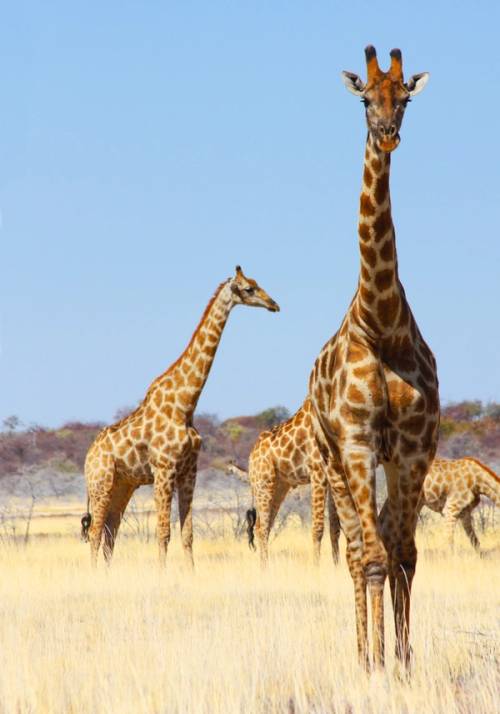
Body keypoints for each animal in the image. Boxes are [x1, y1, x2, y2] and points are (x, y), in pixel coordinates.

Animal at [82, 266, 279, 568]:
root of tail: (88, 457)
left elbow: (187, 534)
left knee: (109, 531)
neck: (185, 405)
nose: (274, 305)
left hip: (122, 485)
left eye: (257, 283)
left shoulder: (189, 471)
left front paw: (191, 573)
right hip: (100, 482)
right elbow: (163, 532)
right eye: (249, 288)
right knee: (94, 532)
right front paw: (162, 575)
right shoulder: (163, 470)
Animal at [225, 398, 341, 565]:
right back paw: (265, 568)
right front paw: (316, 568)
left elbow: (335, 527)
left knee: (263, 526)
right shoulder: (318, 472)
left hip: (279, 487)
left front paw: (337, 567)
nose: (226, 472)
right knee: (262, 528)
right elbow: (318, 527)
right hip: (264, 484)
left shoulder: (335, 474)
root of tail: (251, 457)